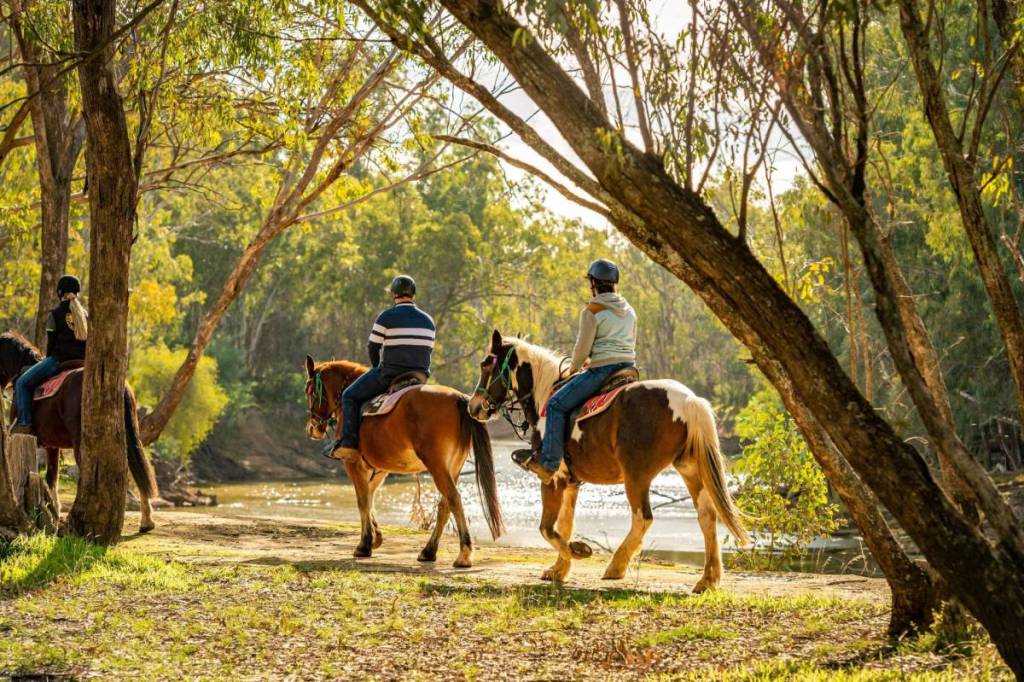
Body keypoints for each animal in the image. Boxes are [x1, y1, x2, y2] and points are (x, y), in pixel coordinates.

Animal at [0, 332, 158, 533]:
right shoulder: (52, 446)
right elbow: (52, 477)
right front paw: (54, 512)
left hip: (81, 442)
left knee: (88, 473)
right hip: (127, 437)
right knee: (135, 469)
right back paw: (146, 521)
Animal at [303, 355, 504, 566]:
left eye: (309, 390)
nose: (312, 428)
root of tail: (458, 399)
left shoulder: (353, 464)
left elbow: (363, 501)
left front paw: (364, 544)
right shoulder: (380, 469)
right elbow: (370, 497)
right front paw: (376, 538)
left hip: (437, 466)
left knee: (453, 499)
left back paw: (463, 554)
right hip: (454, 467)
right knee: (444, 505)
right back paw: (428, 551)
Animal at [467, 330, 749, 591]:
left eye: (486, 364)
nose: (474, 406)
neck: (545, 395)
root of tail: (688, 400)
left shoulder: (551, 478)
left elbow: (547, 528)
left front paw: (577, 551)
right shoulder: (570, 482)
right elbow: (565, 524)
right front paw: (559, 569)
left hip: (637, 476)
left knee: (643, 518)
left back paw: (616, 565)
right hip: (689, 469)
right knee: (706, 515)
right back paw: (708, 578)